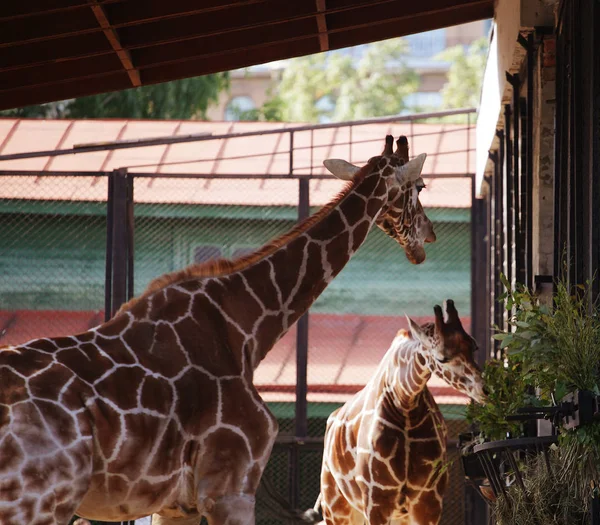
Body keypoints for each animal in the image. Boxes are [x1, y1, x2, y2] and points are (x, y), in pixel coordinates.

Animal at [0, 136, 434, 524]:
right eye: (420, 186)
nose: (427, 239)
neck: (246, 326)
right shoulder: (231, 487)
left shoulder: (177, 505)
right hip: (41, 502)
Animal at [316, 298, 486, 524]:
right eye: (441, 358)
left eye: (473, 346)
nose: (485, 389)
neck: (405, 404)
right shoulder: (377, 500)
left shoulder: (429, 501)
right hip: (336, 506)